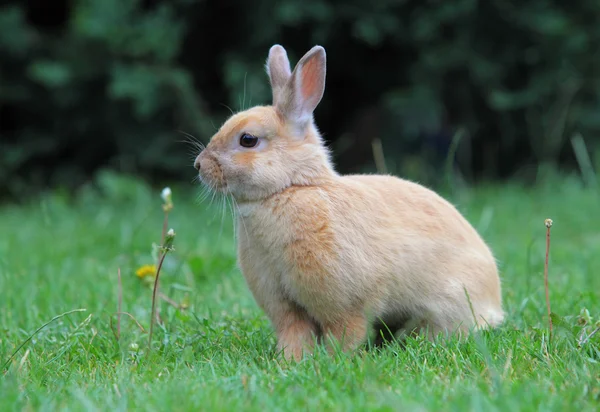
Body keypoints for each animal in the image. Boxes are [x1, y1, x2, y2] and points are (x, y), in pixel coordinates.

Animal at [195, 44, 504, 360]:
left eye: (248, 140)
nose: (199, 165)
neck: (291, 189)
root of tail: (494, 303)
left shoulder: (347, 305)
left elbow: (345, 332)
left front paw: (334, 360)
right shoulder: (285, 306)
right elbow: (294, 333)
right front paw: (290, 360)